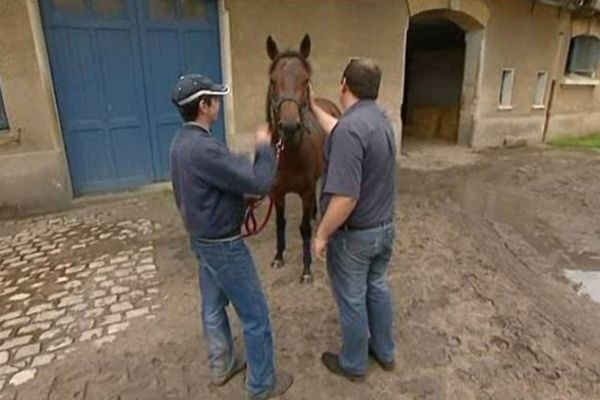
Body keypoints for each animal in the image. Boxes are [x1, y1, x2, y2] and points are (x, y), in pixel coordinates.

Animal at [268, 35, 342, 284]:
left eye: (305, 79)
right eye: (273, 80)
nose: (290, 127)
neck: (291, 155)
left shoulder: (306, 191)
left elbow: (304, 230)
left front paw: (307, 269)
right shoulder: (277, 192)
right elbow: (280, 222)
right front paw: (278, 257)